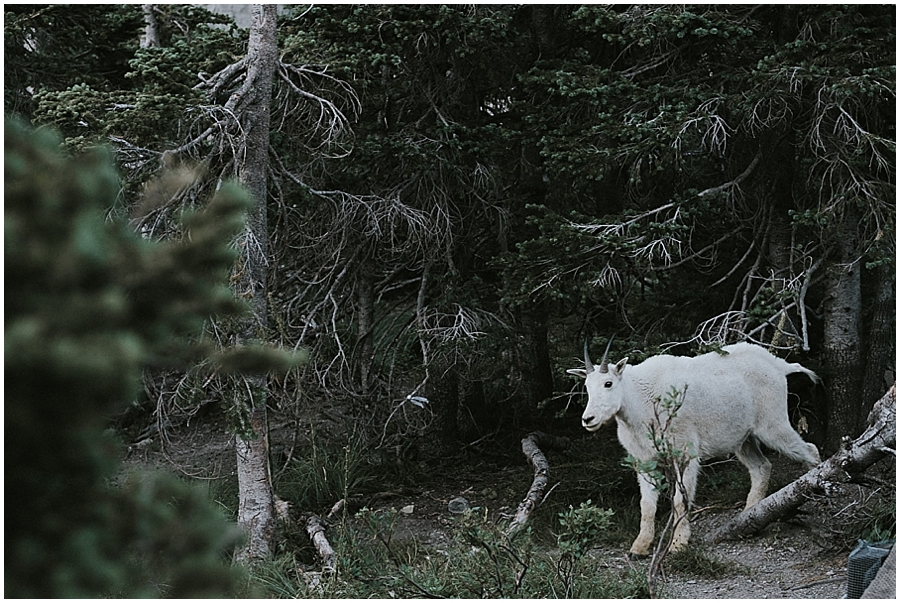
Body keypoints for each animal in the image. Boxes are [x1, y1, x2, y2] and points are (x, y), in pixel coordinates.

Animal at [568, 340, 824, 556]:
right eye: (587, 386)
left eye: (608, 383)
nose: (588, 419)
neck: (639, 401)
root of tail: (778, 366)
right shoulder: (645, 461)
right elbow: (647, 505)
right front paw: (639, 547)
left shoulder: (685, 452)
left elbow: (679, 501)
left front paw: (678, 544)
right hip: (743, 438)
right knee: (761, 467)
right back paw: (748, 518)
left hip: (772, 424)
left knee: (810, 450)